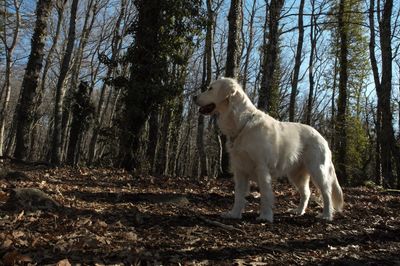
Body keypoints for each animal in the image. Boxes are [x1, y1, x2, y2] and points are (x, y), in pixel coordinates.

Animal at [194, 78, 344, 223]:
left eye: (210, 88)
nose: (194, 97)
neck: (243, 124)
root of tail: (322, 137)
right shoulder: (240, 169)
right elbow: (239, 195)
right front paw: (234, 214)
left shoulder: (262, 168)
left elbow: (265, 195)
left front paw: (265, 216)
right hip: (296, 174)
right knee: (306, 192)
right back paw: (299, 211)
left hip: (317, 170)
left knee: (326, 193)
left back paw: (326, 215)